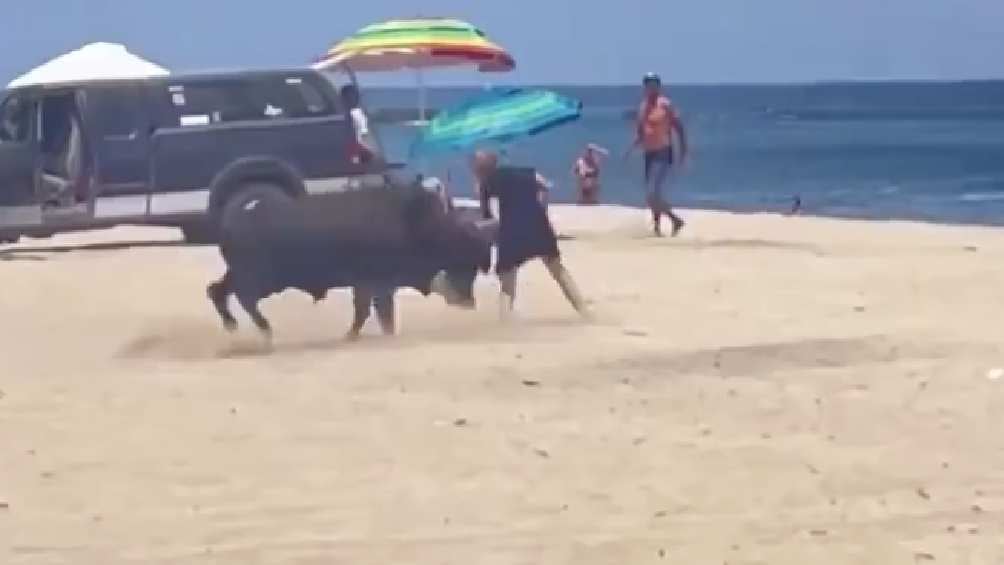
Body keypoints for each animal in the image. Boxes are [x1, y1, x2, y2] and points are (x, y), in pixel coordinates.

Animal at [206, 184, 493, 341]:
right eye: (463, 259)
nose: (468, 302)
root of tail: (232, 220)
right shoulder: (377, 283)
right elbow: (375, 313)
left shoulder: (370, 285)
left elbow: (369, 312)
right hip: (263, 279)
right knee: (243, 296)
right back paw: (265, 330)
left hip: (245, 274)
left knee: (217, 290)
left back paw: (234, 326)